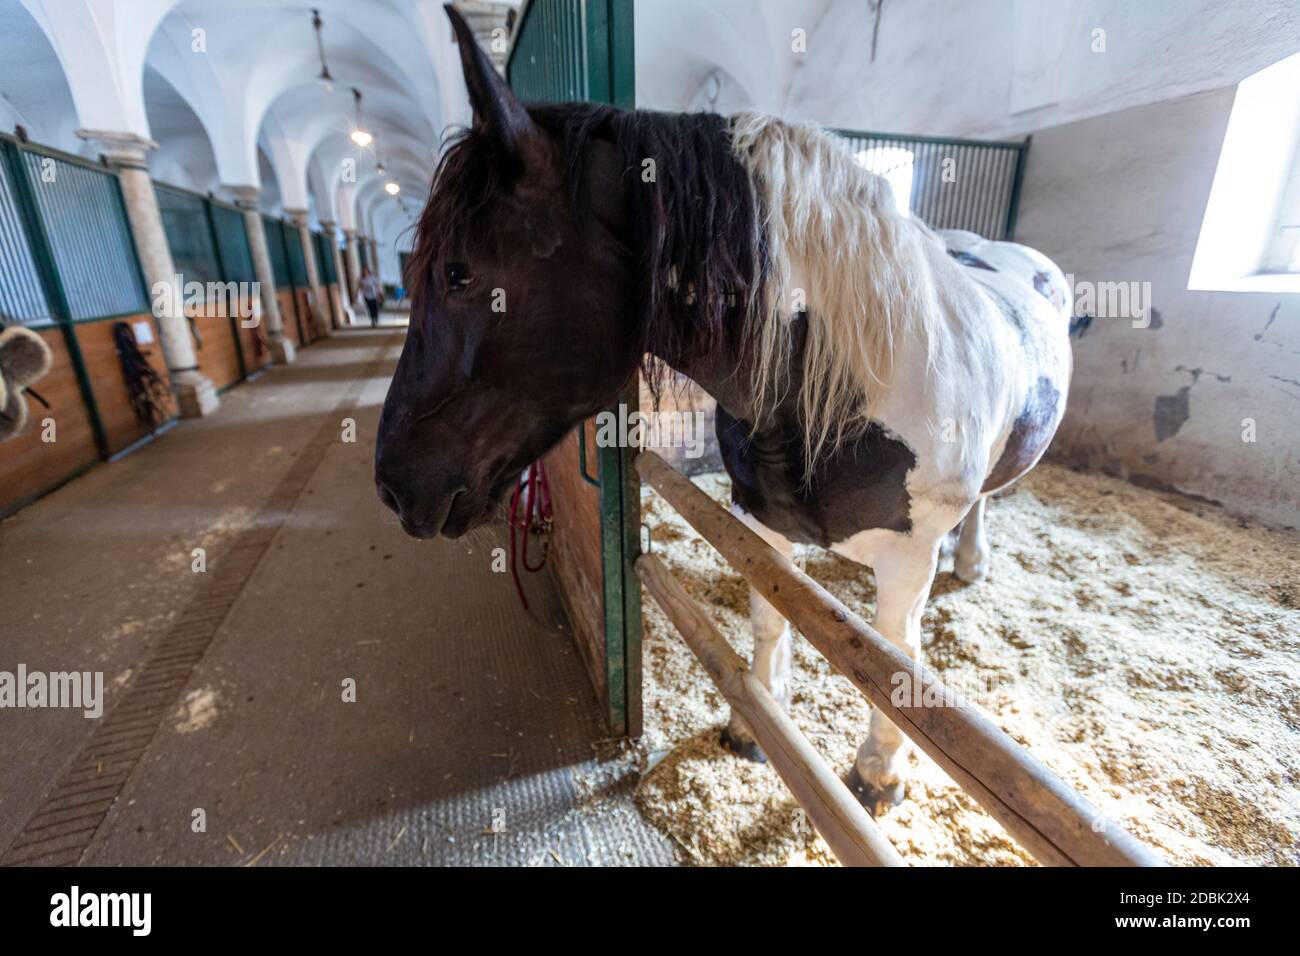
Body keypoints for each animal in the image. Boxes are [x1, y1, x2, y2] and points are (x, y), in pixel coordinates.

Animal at [374, 5, 1066, 816]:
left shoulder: (906, 557)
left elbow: (896, 665)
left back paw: (973, 561)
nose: (392, 486)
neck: (850, 385)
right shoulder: (759, 520)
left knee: (986, 503)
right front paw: (754, 723)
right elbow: (769, 617)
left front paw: (879, 773)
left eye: (458, 273)